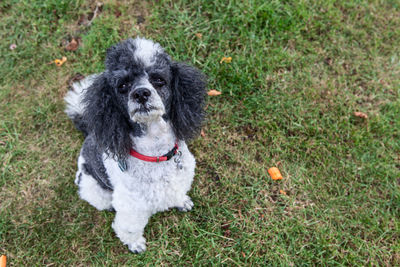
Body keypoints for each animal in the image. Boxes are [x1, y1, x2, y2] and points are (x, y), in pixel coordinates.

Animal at [64, 37, 206, 253]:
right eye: (122, 85)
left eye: (158, 79)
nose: (140, 93)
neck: (155, 153)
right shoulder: (131, 207)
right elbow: (128, 228)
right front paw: (135, 244)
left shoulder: (180, 177)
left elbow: (178, 192)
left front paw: (182, 202)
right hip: (94, 188)